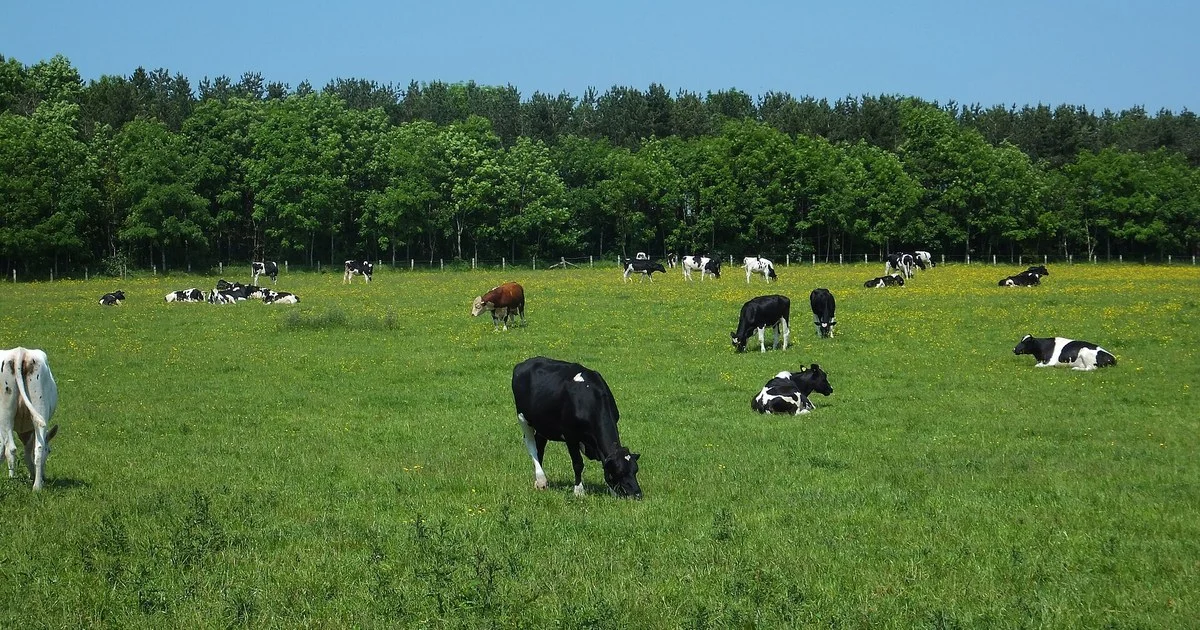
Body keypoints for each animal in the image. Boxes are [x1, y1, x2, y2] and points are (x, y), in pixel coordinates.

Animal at [1, 348, 59, 491]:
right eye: (50, 450)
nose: (44, 477)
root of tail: (20, 352)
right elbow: (28, 453)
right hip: (39, 407)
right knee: (38, 448)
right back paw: (37, 486)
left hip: (6, 412)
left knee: (10, 448)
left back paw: (13, 481)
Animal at [511, 356, 642, 498]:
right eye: (620, 472)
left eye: (635, 470)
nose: (638, 494)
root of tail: (525, 363)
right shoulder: (570, 435)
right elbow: (578, 463)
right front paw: (579, 491)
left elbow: (604, 463)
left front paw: (612, 492)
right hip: (523, 418)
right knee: (531, 446)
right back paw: (541, 479)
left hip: (542, 423)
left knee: (539, 446)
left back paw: (540, 482)